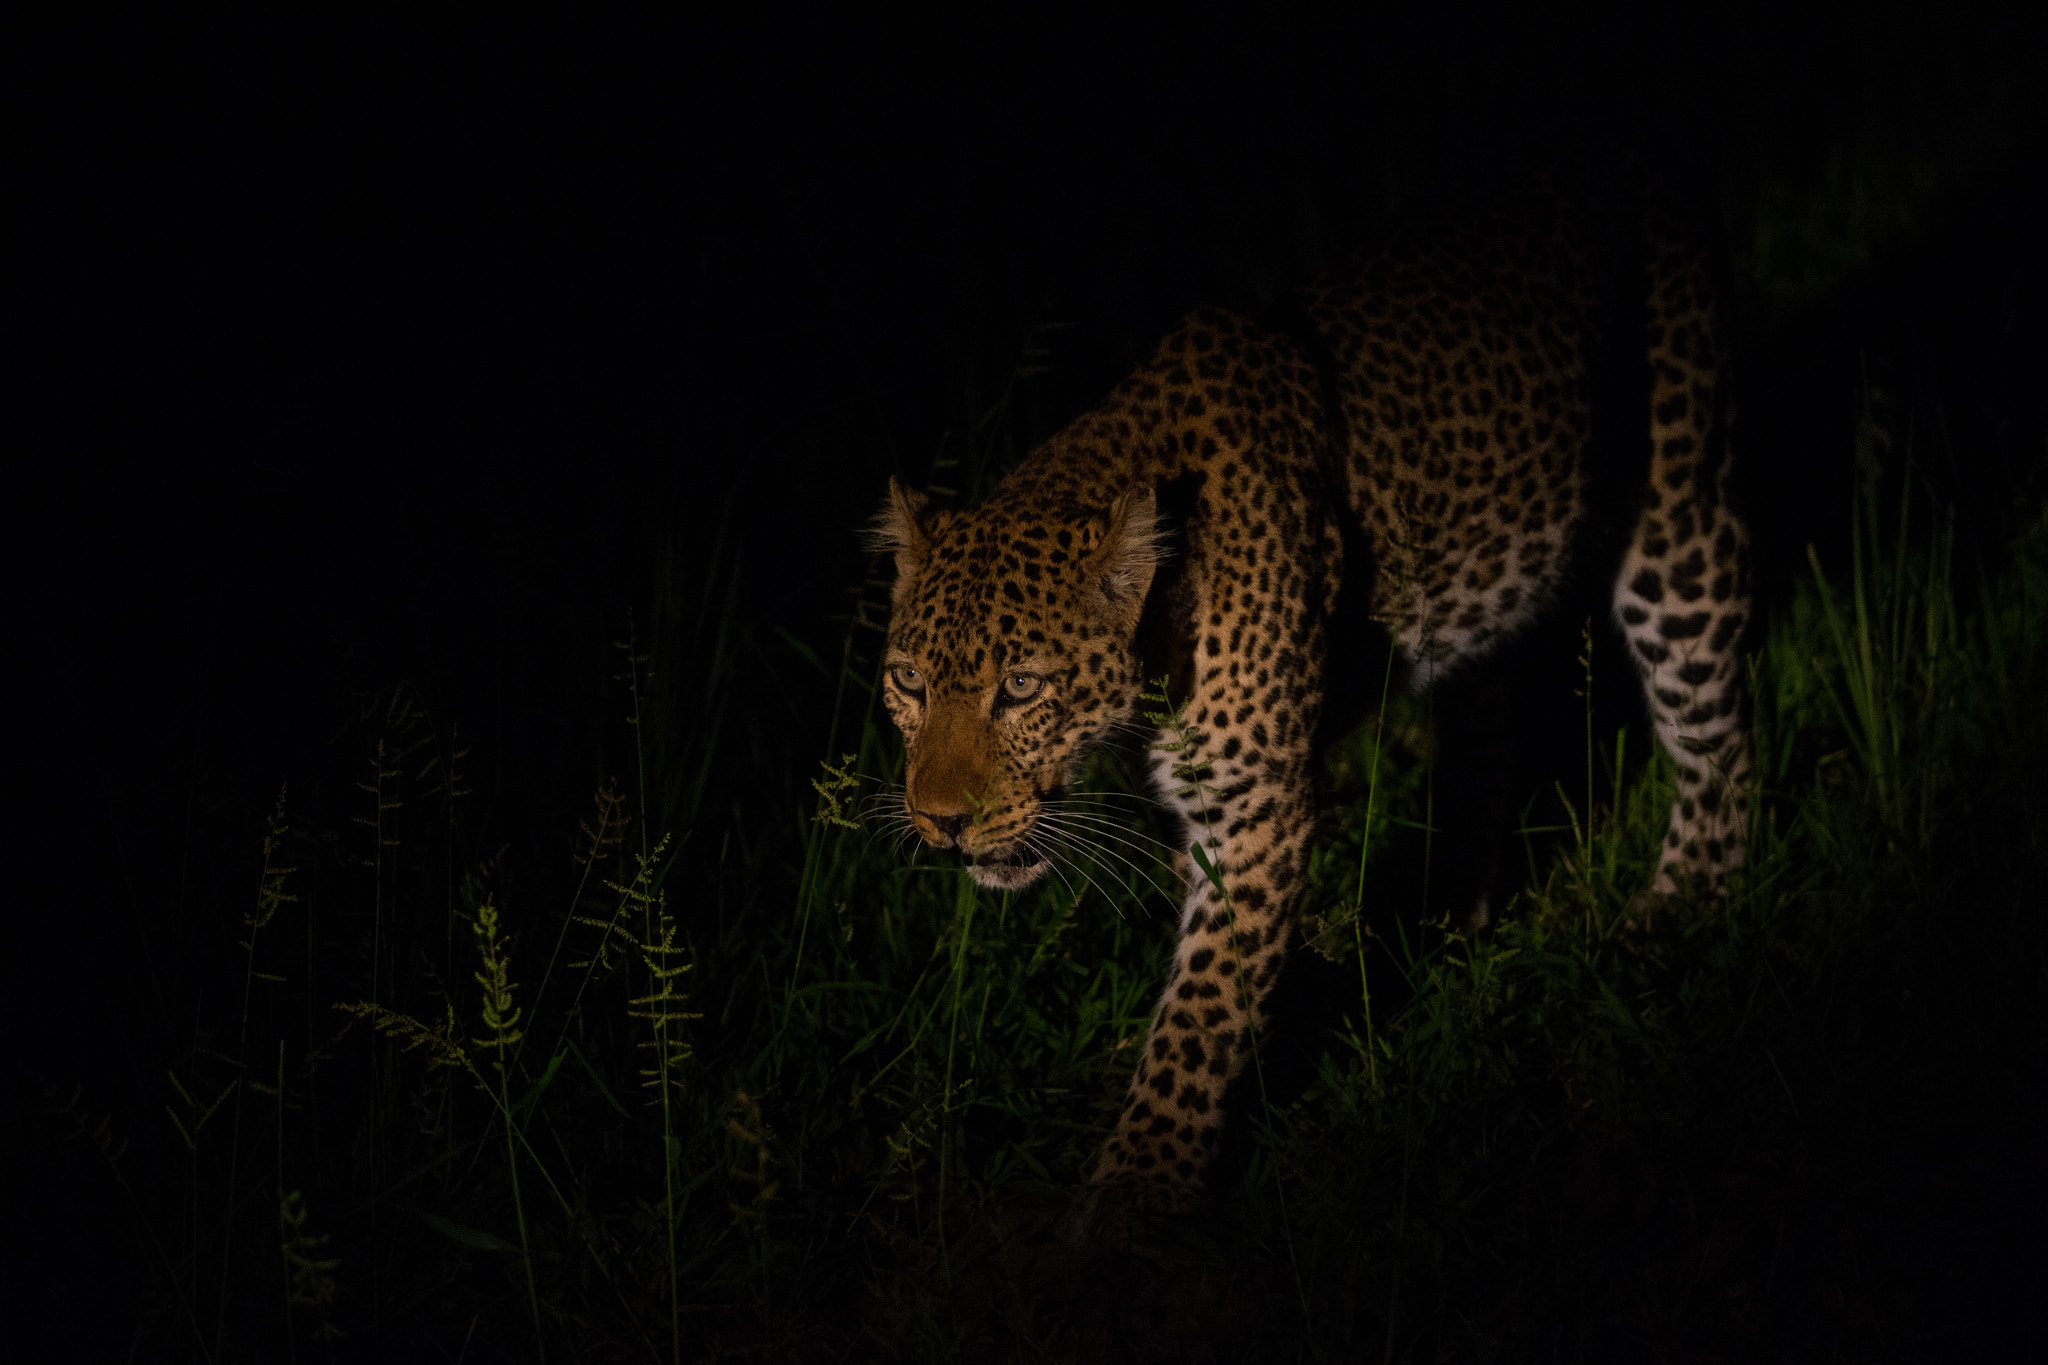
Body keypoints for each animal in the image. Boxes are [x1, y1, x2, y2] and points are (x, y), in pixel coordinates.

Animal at [871, 174, 1752, 1212]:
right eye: (909, 682)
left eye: (1020, 687)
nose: (940, 822)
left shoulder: (1252, 812)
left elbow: (1197, 1024)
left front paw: (1132, 1199)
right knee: (1489, 720)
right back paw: (1451, 914)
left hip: (1677, 520)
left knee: (1717, 733)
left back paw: (1687, 909)